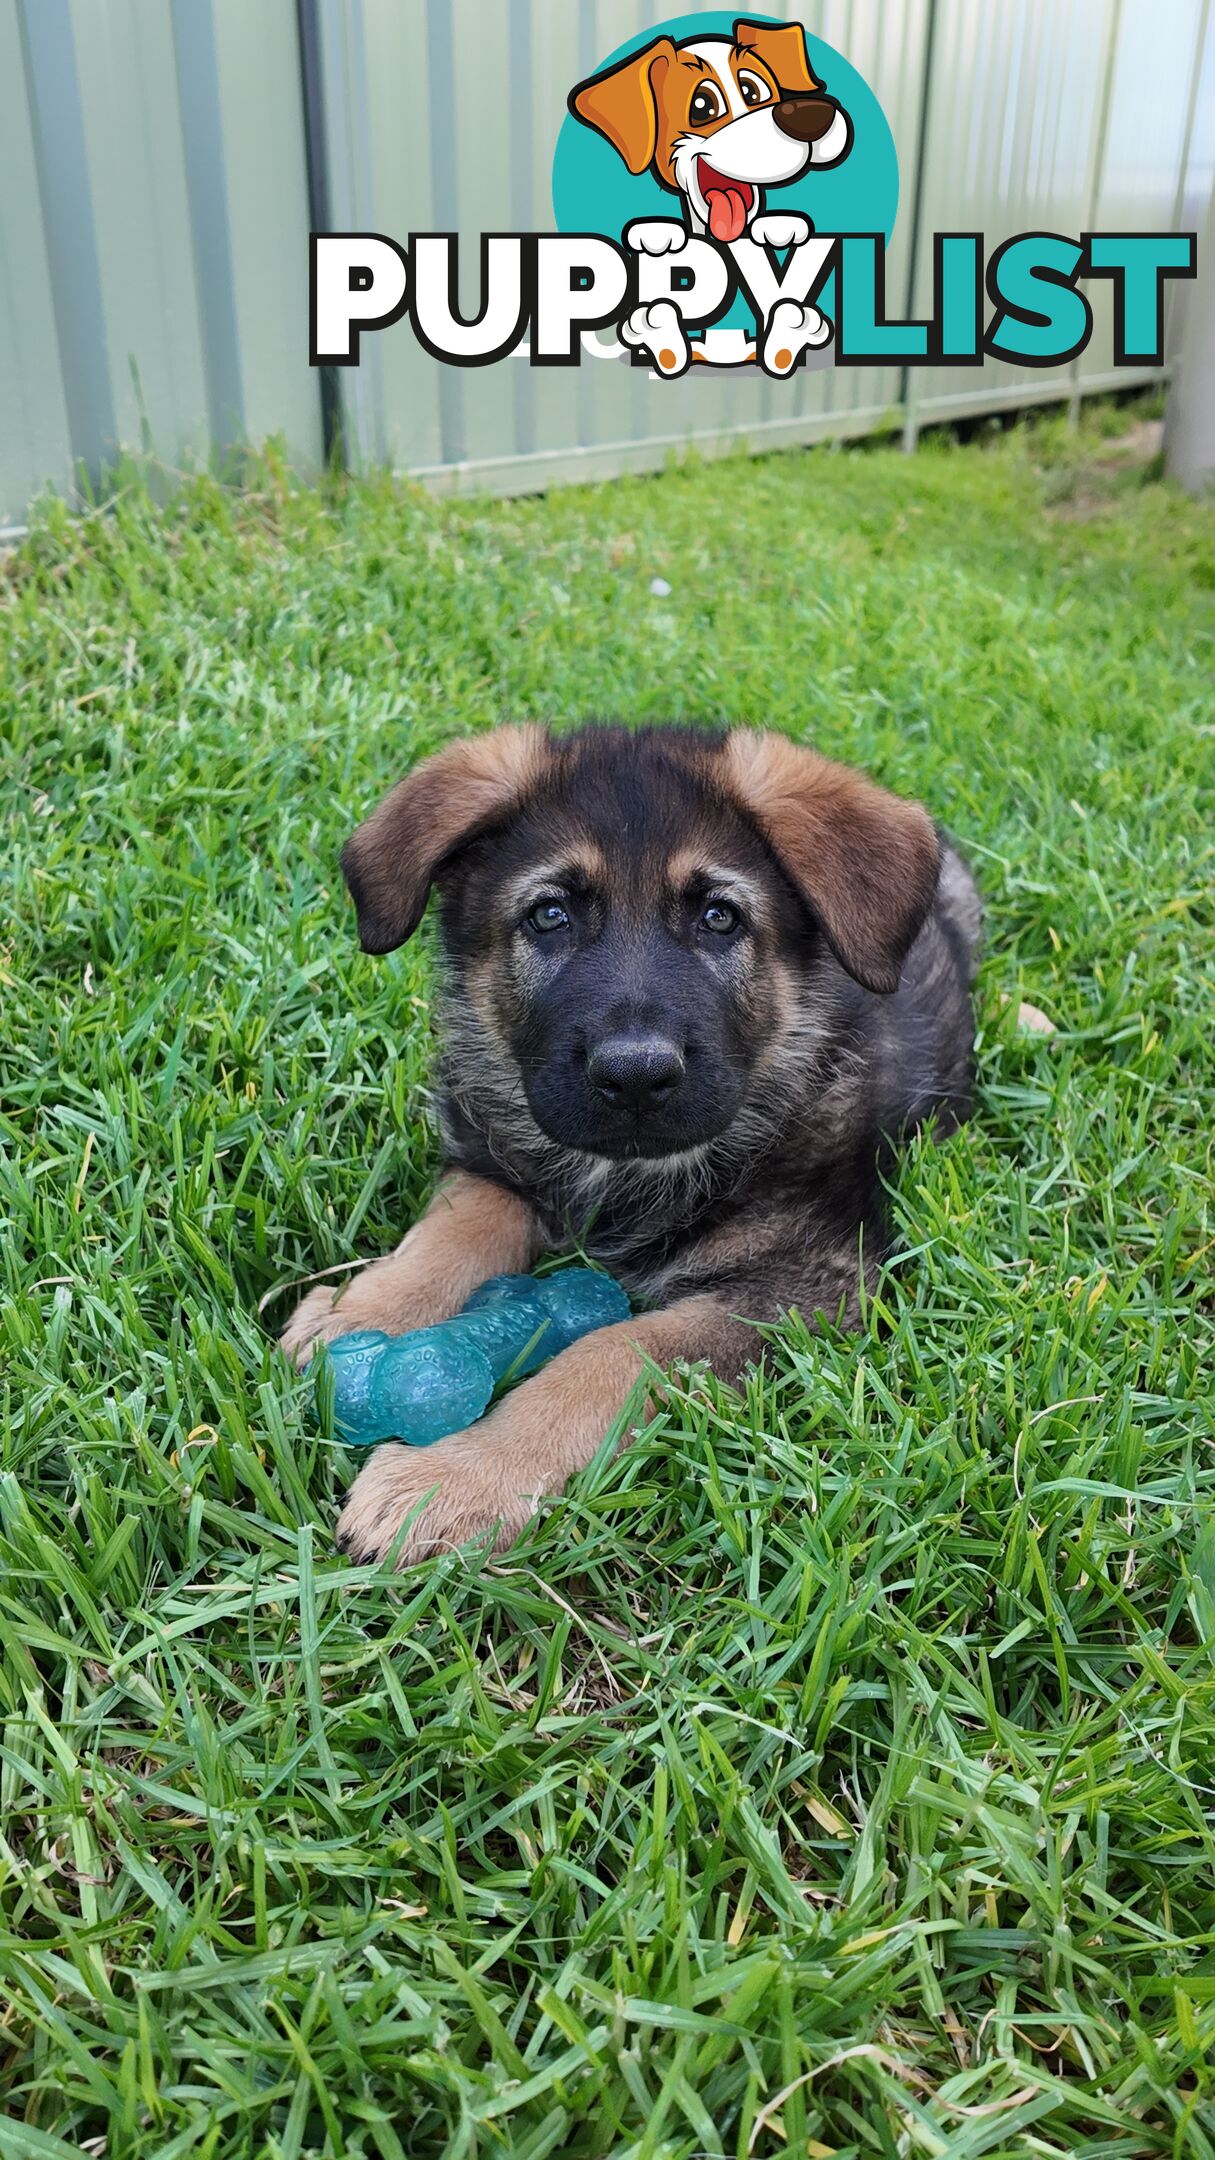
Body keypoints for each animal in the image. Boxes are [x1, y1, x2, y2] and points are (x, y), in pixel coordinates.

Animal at [281, 730, 972, 1572]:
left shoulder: (808, 1287)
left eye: (718, 917)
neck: (628, 1172)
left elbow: (614, 1353)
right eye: (548, 916)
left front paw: (454, 1478)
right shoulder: (494, 1154)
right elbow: (452, 1231)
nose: (635, 1076)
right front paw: (359, 1314)